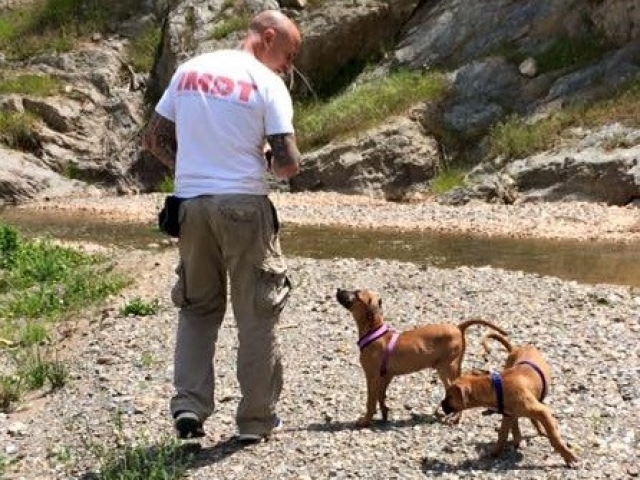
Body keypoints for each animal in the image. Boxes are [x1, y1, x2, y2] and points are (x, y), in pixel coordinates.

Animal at [336, 288, 510, 428]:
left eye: (357, 294)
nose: (338, 289)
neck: (374, 331)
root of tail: (458, 327)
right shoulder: (385, 376)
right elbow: (381, 396)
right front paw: (384, 414)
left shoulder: (372, 376)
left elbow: (370, 401)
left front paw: (366, 420)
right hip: (453, 365)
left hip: (446, 367)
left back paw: (455, 418)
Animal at [442, 332, 576, 466]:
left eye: (449, 396)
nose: (442, 404)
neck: (496, 387)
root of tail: (515, 349)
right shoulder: (508, 415)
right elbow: (502, 434)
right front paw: (496, 452)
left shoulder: (540, 411)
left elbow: (554, 437)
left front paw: (567, 455)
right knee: (522, 421)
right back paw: (520, 437)